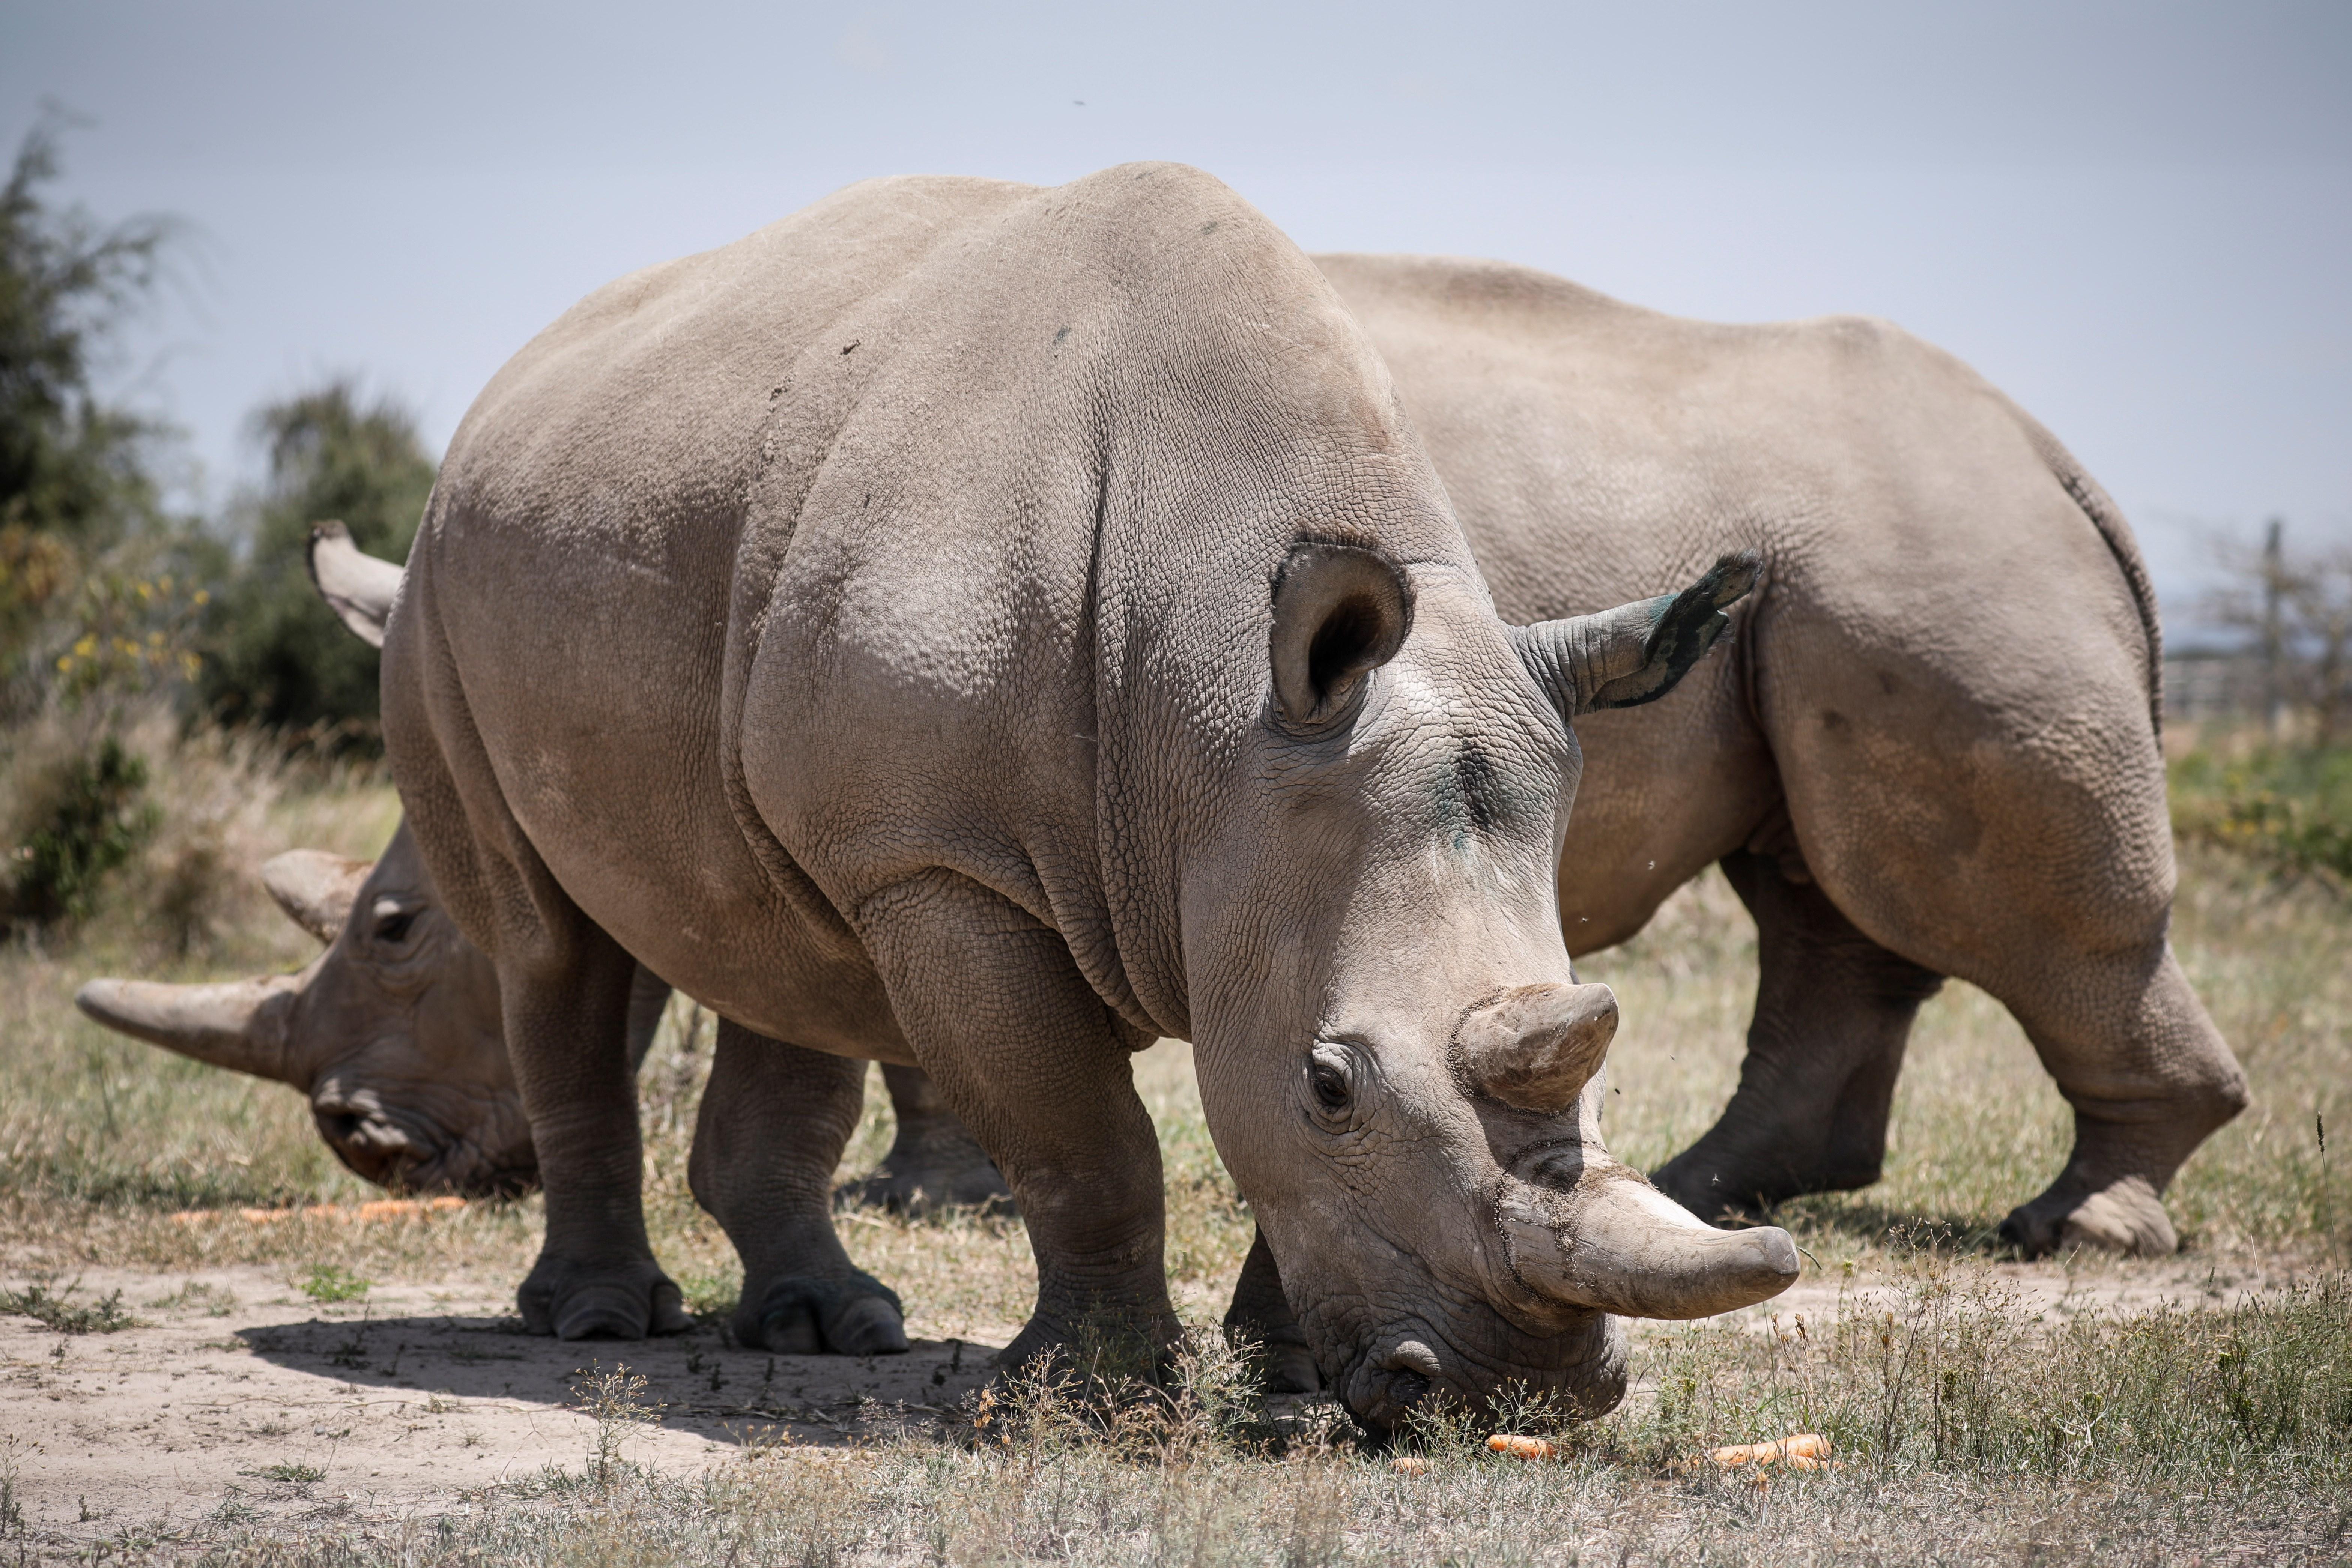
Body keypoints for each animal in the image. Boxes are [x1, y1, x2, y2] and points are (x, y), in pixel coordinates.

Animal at [87, 165, 1797, 1429]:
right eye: (1333, 1083)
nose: (1532, 1400)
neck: (1214, 718)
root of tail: (502, 400)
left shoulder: (1253, 842)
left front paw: (1286, 1369)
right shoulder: (946, 863)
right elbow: (1083, 1129)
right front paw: (1095, 1395)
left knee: (763, 935)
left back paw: (822, 1330)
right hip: (441, 604)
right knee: (551, 945)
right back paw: (602, 1322)